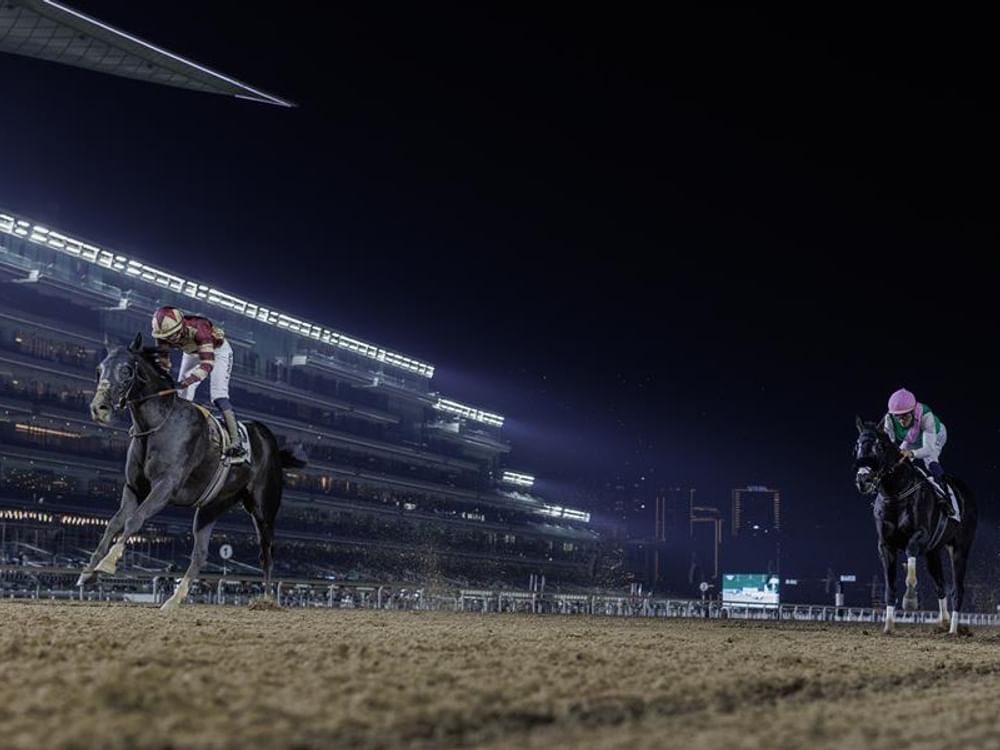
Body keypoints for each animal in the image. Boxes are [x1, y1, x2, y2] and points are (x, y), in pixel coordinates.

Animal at [80, 332, 306, 609]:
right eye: (99, 369)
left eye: (126, 370)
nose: (99, 408)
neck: (158, 424)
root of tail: (270, 441)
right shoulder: (134, 487)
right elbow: (114, 523)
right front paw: (89, 571)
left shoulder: (165, 487)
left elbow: (135, 520)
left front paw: (108, 563)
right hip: (211, 508)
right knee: (200, 554)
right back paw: (173, 600)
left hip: (264, 509)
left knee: (267, 552)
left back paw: (266, 599)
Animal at [853, 417, 977, 635]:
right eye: (857, 445)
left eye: (878, 447)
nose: (863, 480)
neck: (895, 493)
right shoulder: (885, 545)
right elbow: (890, 587)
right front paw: (888, 625)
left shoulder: (920, 535)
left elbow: (910, 556)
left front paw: (910, 599)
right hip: (933, 553)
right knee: (941, 586)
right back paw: (943, 622)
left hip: (960, 549)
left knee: (957, 589)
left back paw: (953, 630)